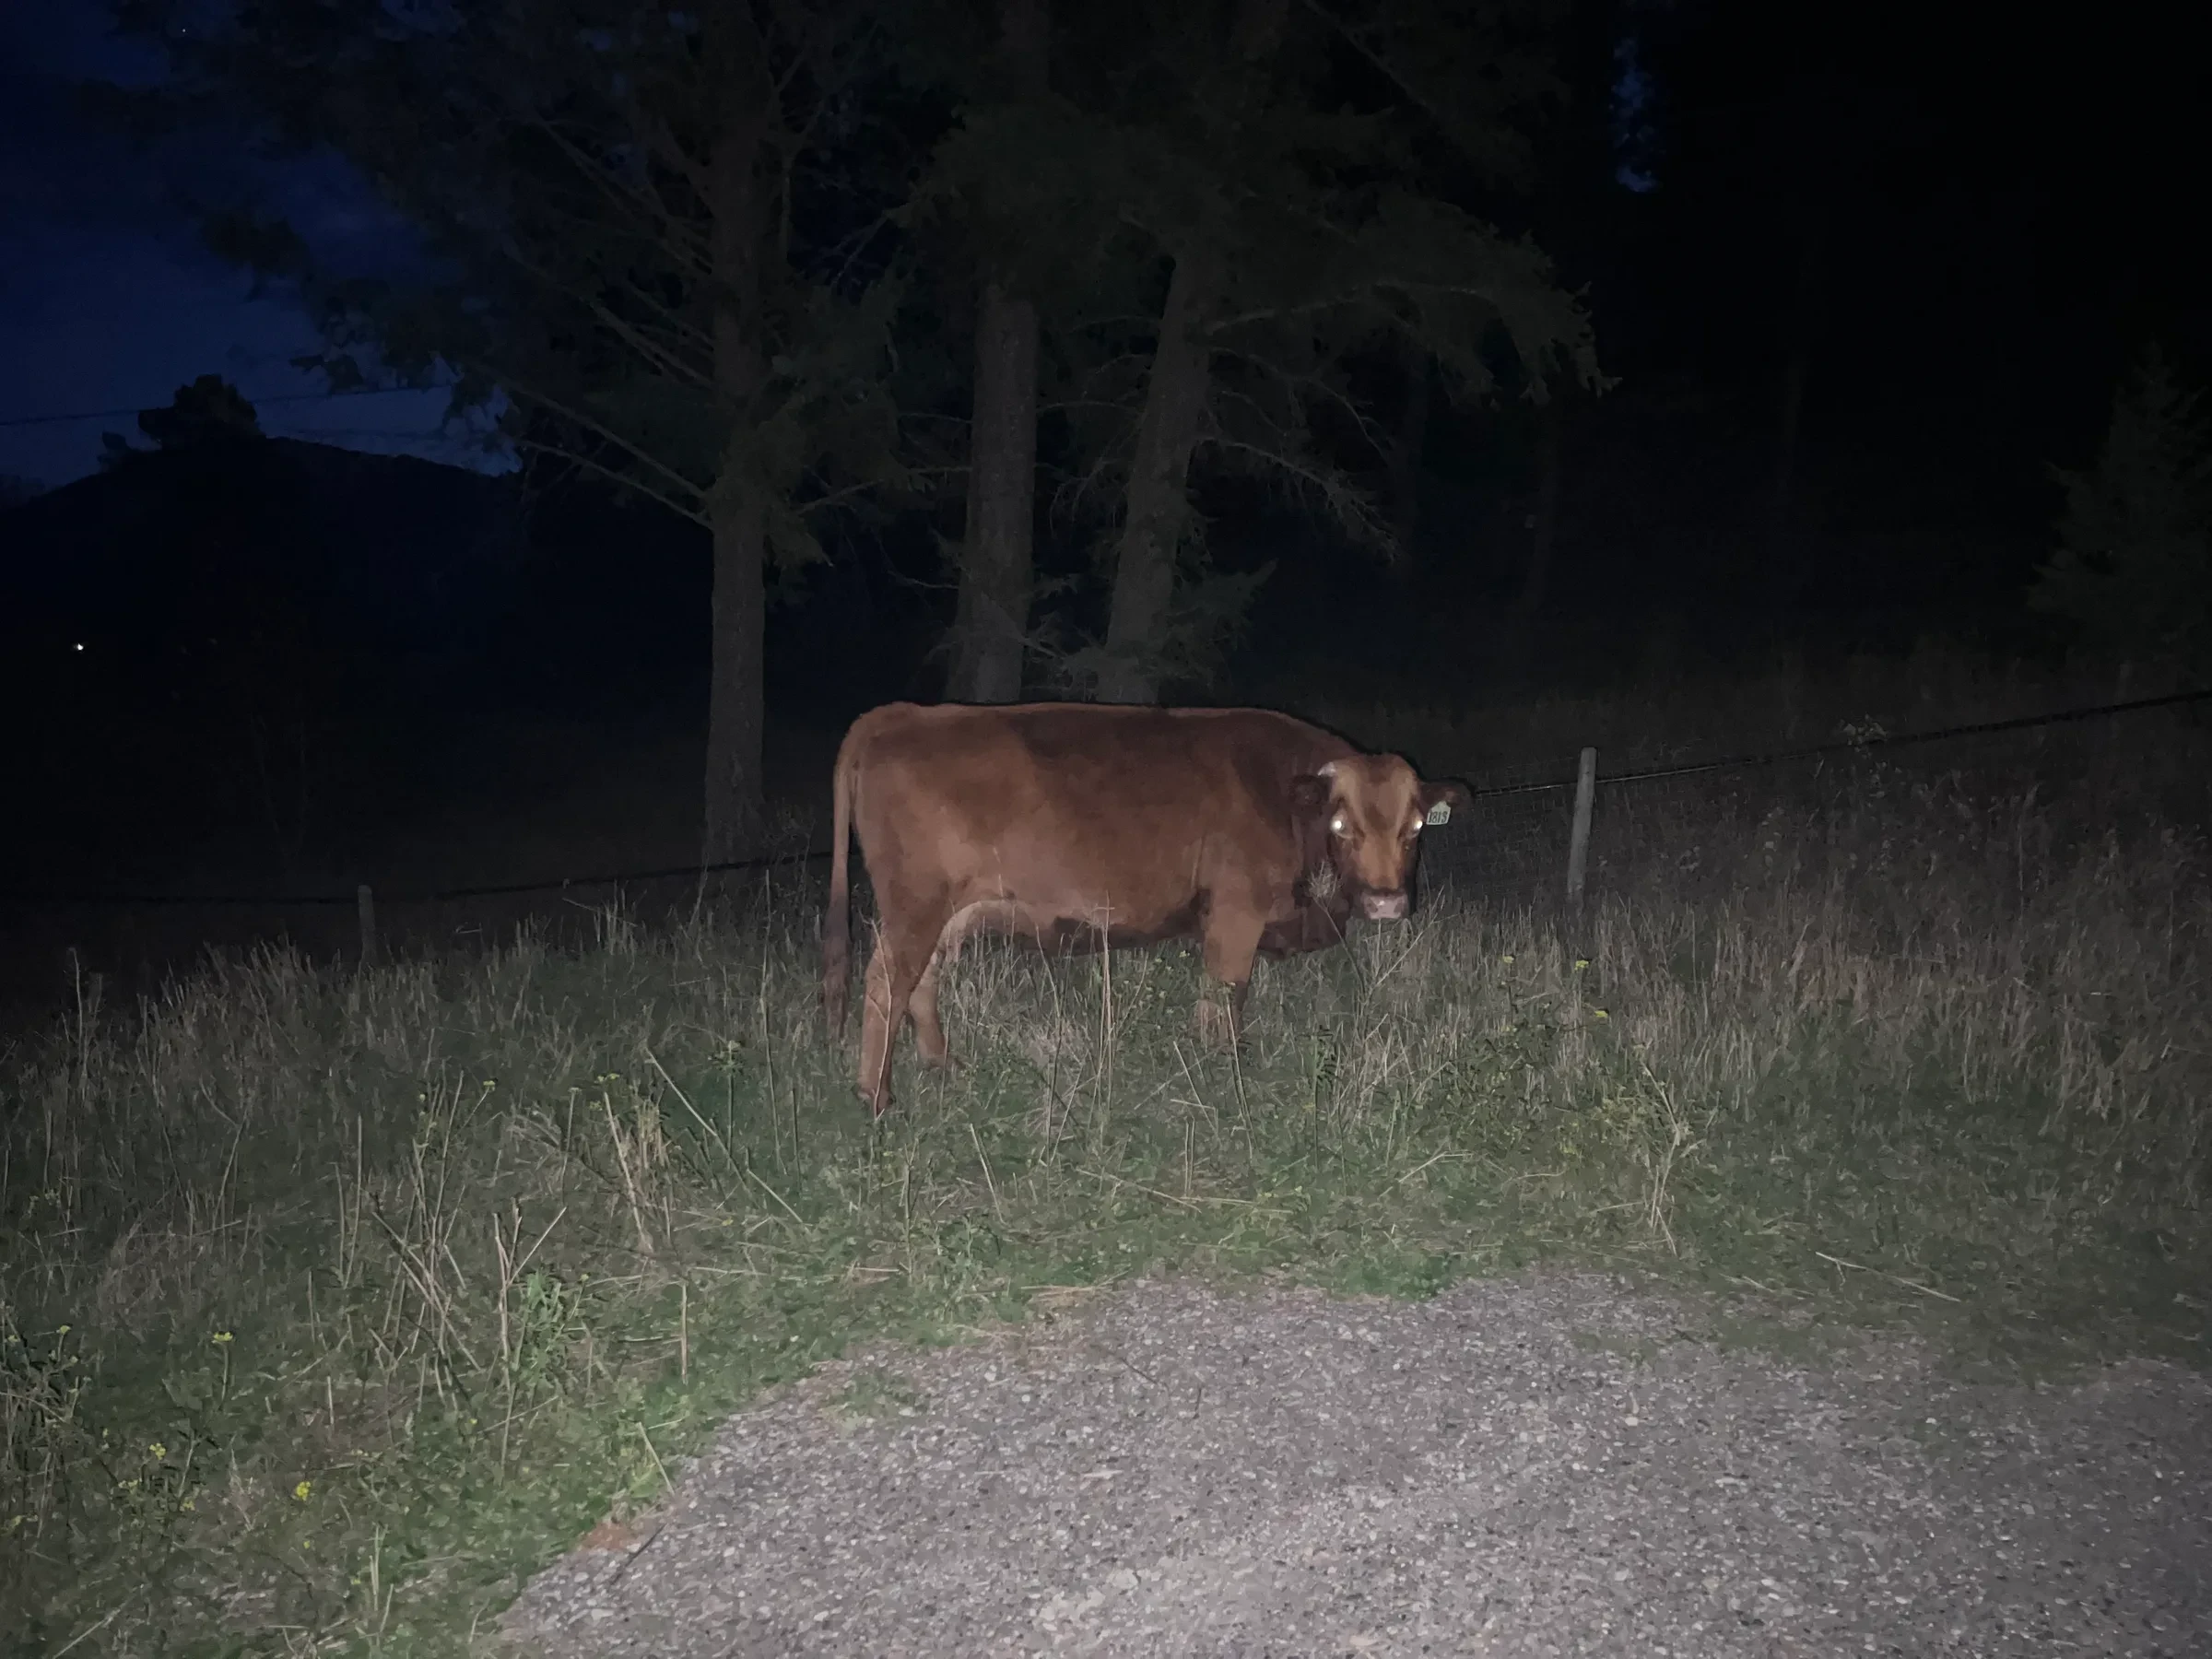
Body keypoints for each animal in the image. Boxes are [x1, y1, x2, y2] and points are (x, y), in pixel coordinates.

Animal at [820, 701, 1467, 1116]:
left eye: (1414, 828)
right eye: (1341, 825)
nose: (1386, 901)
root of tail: (906, 713)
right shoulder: (1236, 911)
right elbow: (1226, 991)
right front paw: (1224, 1062)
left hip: (947, 911)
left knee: (923, 979)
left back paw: (940, 1064)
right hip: (915, 906)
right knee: (886, 981)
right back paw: (876, 1096)